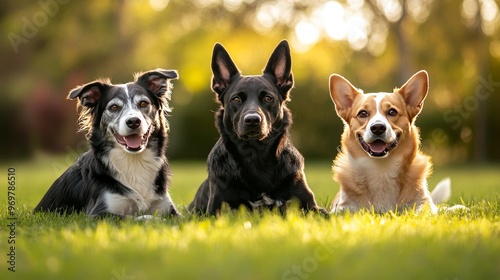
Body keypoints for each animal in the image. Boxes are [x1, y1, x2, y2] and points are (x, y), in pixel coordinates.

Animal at [32, 69, 180, 218]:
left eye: (143, 103)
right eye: (114, 107)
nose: (133, 121)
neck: (133, 162)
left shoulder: (168, 208)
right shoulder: (99, 213)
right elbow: (137, 217)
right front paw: (152, 218)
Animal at [189, 40, 326, 214]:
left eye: (268, 98)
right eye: (236, 99)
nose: (253, 120)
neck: (255, 156)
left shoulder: (311, 207)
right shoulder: (216, 210)